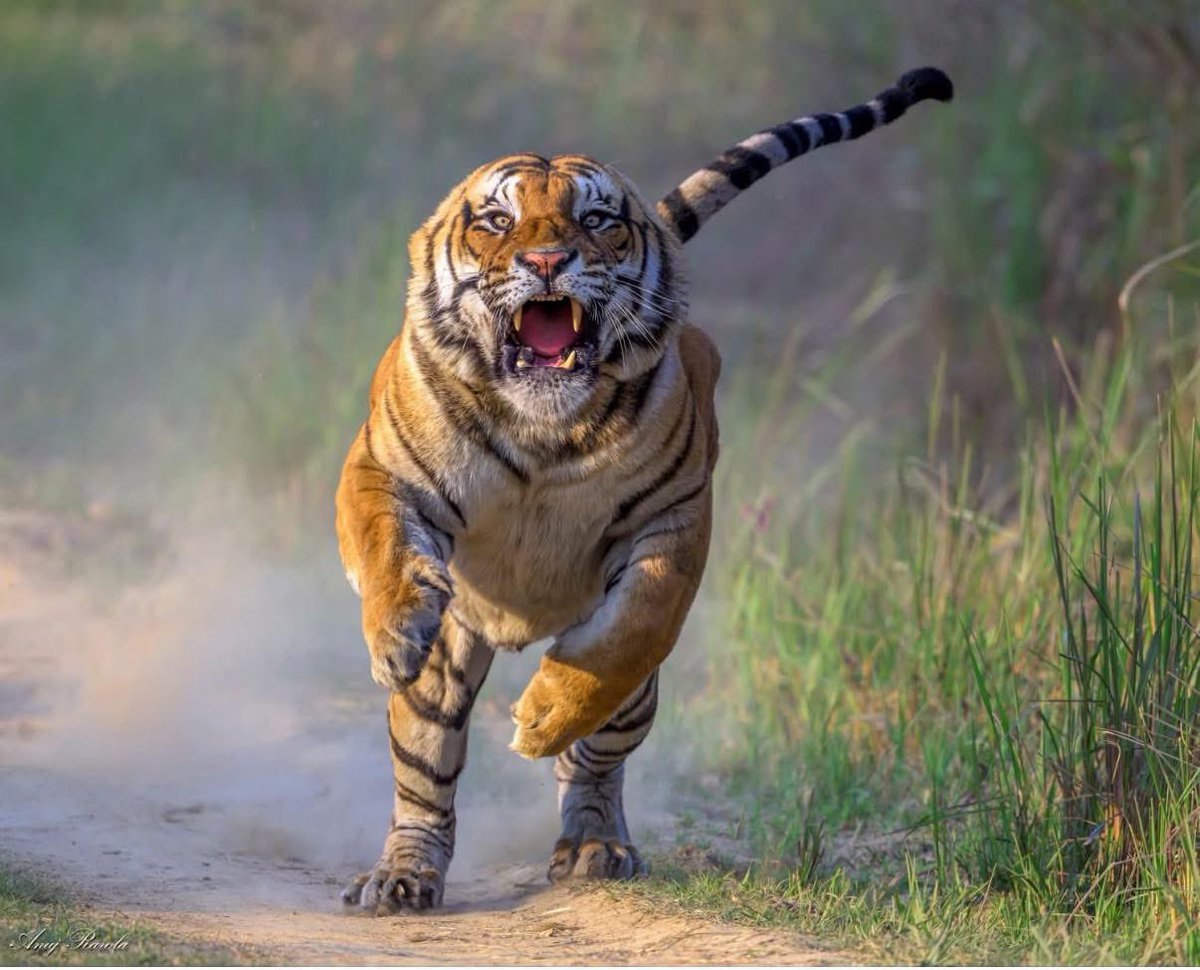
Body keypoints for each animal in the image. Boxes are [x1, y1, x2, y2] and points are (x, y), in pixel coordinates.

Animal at [336, 67, 952, 913]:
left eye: (597, 220)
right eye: (497, 220)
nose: (549, 261)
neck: (542, 428)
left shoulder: (674, 521)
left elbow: (632, 631)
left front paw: (541, 717)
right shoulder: (381, 468)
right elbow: (385, 548)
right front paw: (396, 636)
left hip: (633, 699)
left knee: (595, 758)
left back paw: (593, 844)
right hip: (449, 670)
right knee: (425, 774)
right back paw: (403, 875)